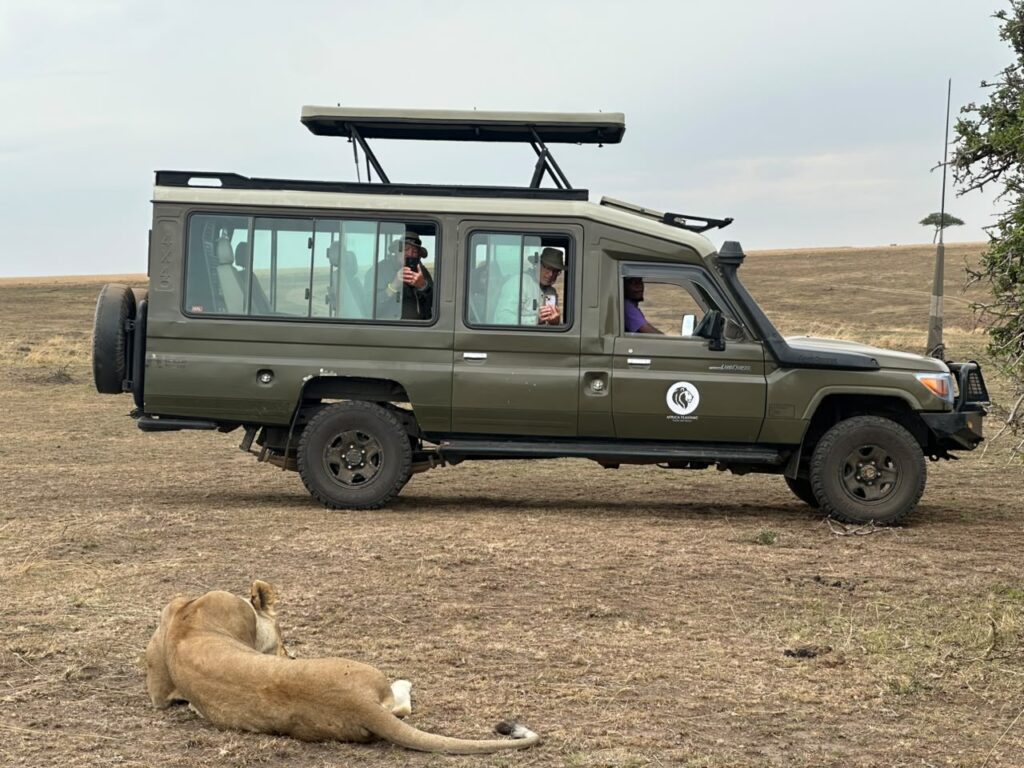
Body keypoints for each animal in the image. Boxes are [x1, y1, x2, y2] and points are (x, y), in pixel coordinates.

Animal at [145, 580, 540, 754]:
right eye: (284, 641)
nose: (290, 655)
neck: (187, 618)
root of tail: (357, 703)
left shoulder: (159, 689)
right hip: (373, 675)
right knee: (401, 704)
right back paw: (405, 681)